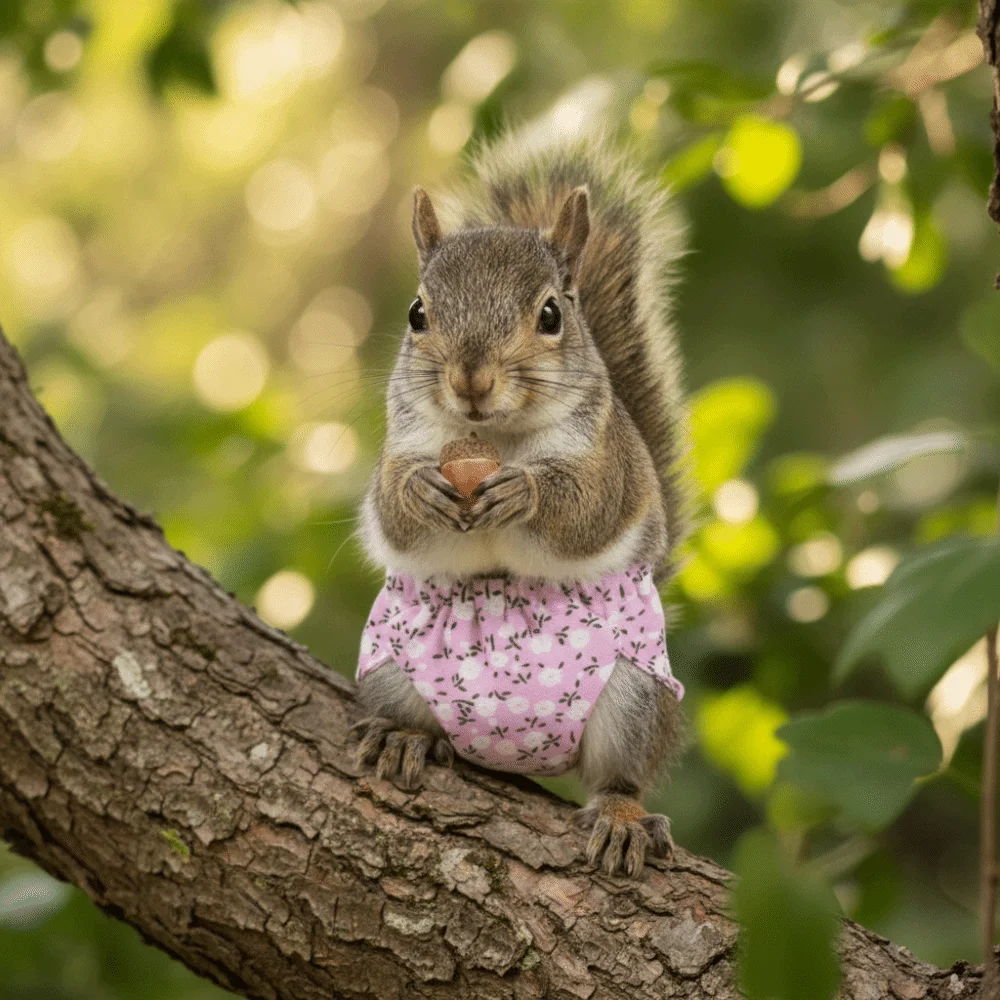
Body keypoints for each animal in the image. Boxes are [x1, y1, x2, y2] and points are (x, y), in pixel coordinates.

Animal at [350, 129, 690, 879]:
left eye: (551, 315)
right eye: (418, 313)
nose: (471, 380)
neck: (494, 436)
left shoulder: (608, 458)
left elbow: (586, 508)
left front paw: (525, 492)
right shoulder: (399, 442)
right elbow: (390, 507)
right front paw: (419, 490)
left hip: (632, 696)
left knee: (620, 776)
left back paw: (622, 817)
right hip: (392, 669)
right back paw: (407, 740)